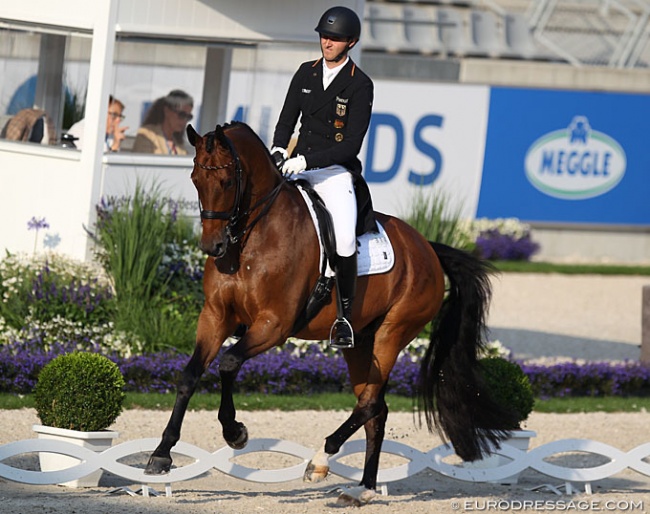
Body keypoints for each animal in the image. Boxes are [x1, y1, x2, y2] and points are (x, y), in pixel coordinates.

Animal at [144, 120, 512, 504]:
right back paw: (363, 489)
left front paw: (235, 432)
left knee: (369, 402)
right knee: (375, 407)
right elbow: (189, 375)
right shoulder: (215, 316)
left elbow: (228, 364)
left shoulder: (273, 325)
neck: (251, 239)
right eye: (195, 178)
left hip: (392, 333)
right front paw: (161, 455)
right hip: (360, 343)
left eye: (228, 181)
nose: (212, 246)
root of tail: (427, 248)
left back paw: (320, 461)